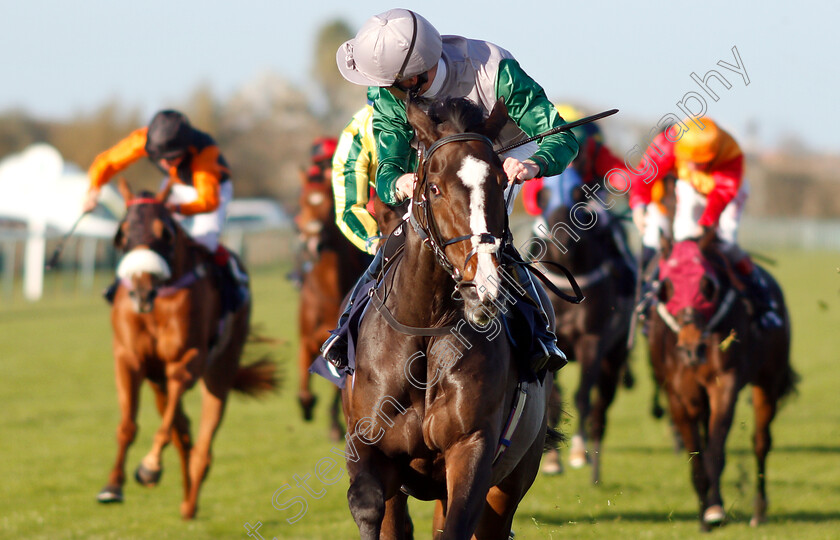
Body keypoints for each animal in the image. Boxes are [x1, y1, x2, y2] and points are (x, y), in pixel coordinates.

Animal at [97, 180, 276, 520]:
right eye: (122, 234)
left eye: (165, 233)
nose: (141, 292)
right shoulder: (128, 358)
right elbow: (128, 425)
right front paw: (112, 485)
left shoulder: (189, 359)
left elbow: (171, 414)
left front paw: (150, 466)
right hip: (157, 381)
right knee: (183, 433)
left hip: (220, 370)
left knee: (203, 444)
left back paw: (190, 501)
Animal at [342, 98, 552, 540]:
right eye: (435, 189)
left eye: (500, 185)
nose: (483, 284)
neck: (425, 328)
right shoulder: (369, 443)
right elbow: (369, 507)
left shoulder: (471, 447)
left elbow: (457, 524)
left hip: (511, 478)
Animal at [536, 199, 632, 486]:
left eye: (578, 213)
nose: (563, 241)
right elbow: (554, 400)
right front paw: (552, 460)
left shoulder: (592, 341)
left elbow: (582, 397)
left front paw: (579, 451)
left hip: (614, 359)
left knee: (600, 411)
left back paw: (595, 471)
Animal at [648, 237, 796, 532]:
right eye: (668, 286)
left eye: (708, 285)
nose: (692, 348)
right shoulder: (677, 394)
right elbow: (696, 454)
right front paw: (703, 512)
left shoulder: (724, 383)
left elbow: (715, 449)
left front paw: (714, 510)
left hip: (768, 381)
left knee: (761, 441)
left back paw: (759, 510)